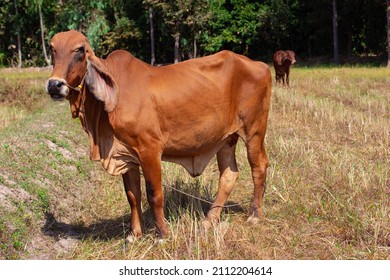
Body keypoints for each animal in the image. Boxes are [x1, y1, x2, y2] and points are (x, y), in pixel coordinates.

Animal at [46, 30, 272, 241]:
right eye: (52, 48)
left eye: (80, 50)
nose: (54, 85)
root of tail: (260, 65)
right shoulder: (126, 155)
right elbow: (133, 196)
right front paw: (134, 234)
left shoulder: (149, 149)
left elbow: (154, 194)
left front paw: (162, 234)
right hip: (226, 139)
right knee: (229, 175)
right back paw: (209, 220)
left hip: (254, 131)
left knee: (259, 166)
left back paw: (254, 215)